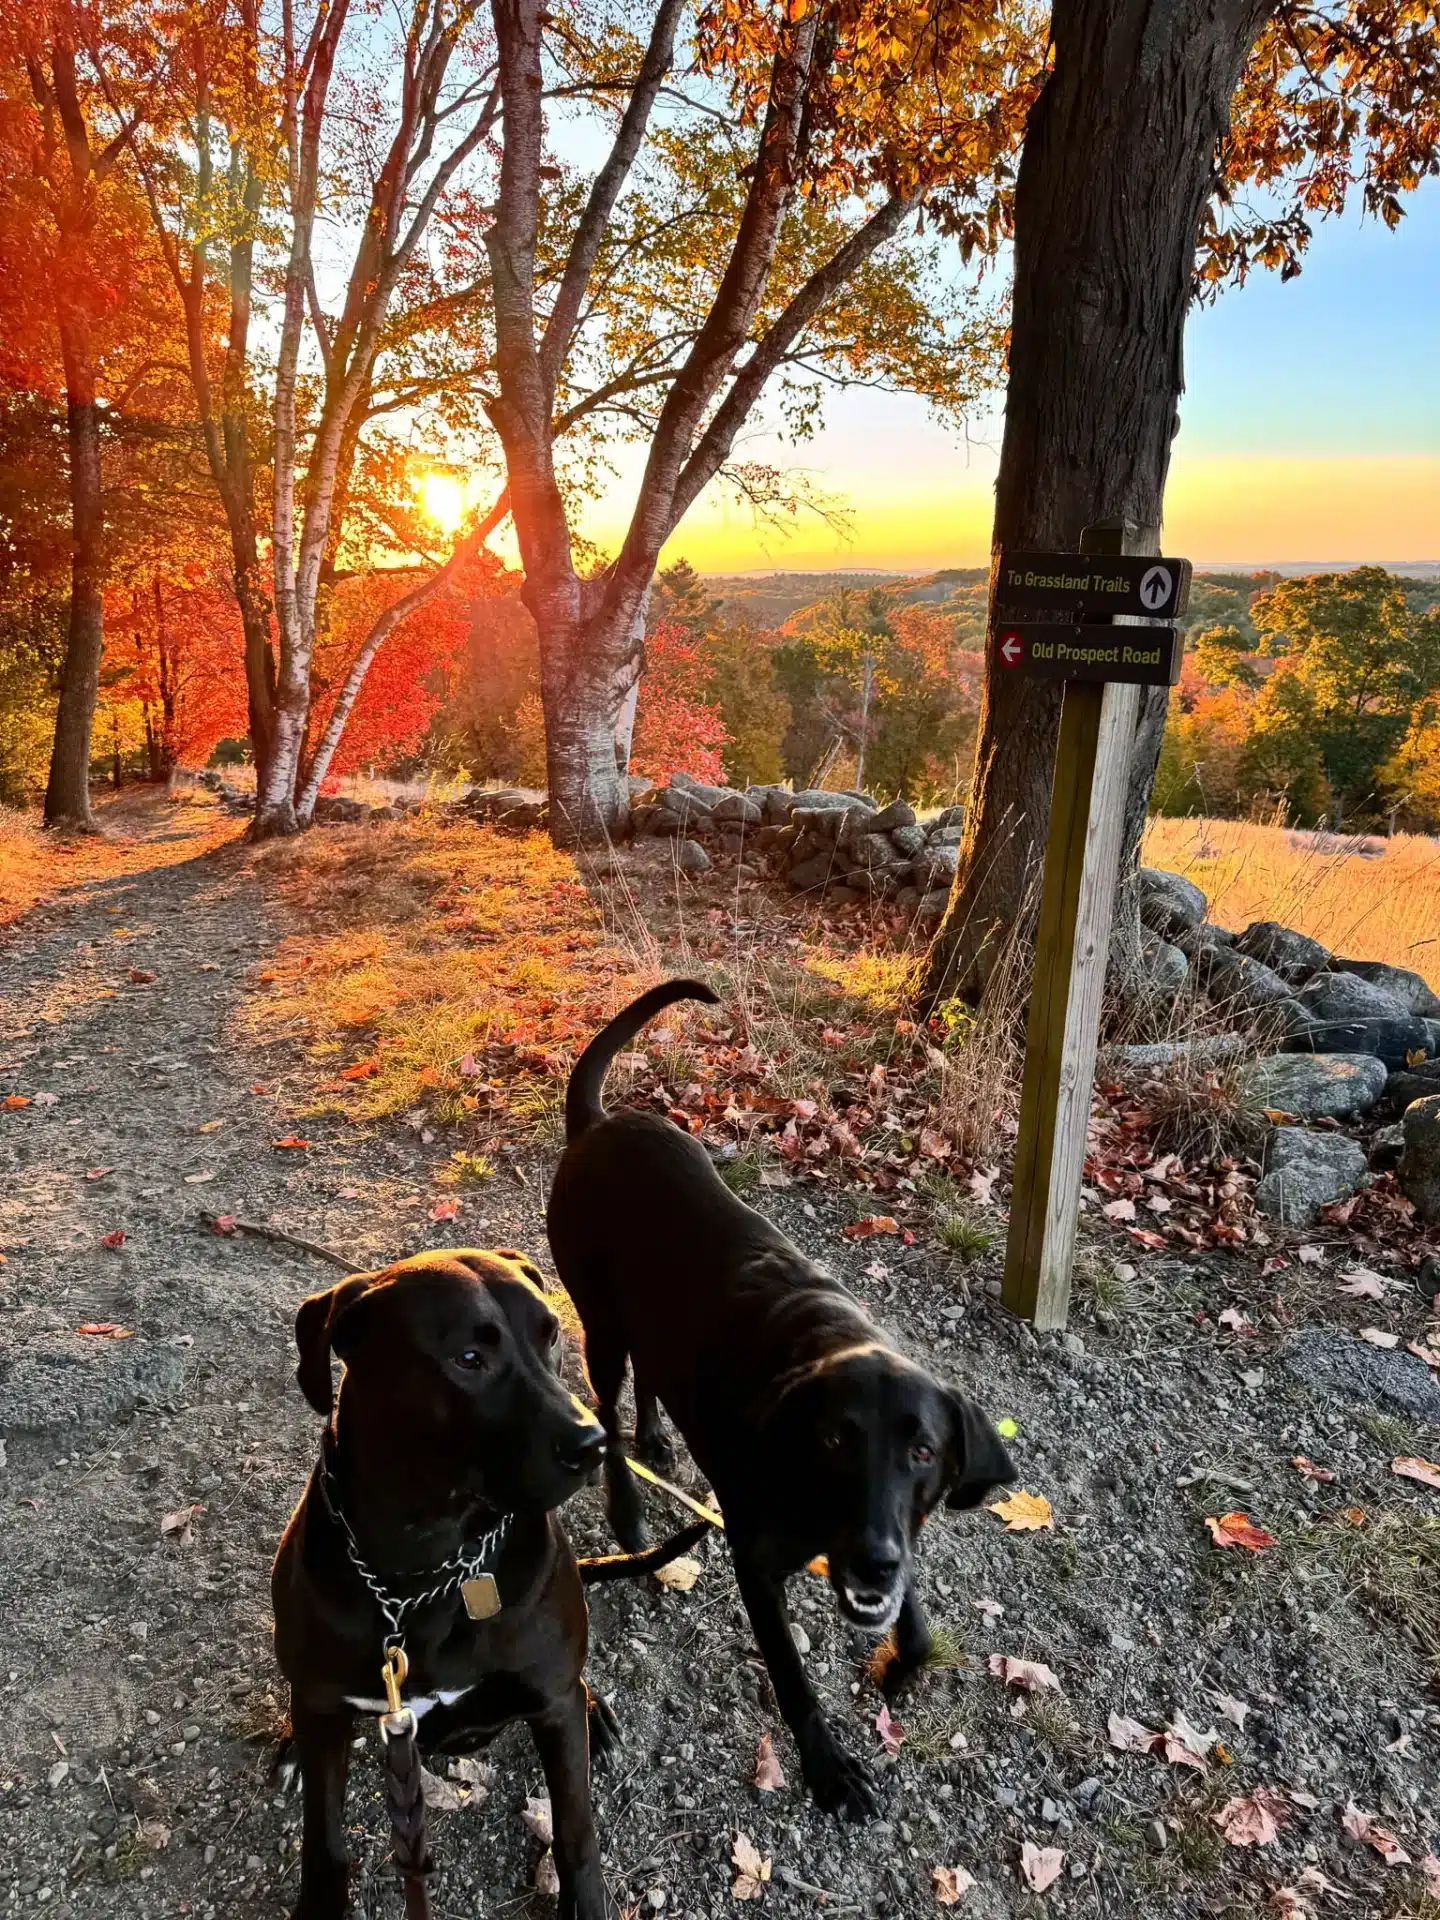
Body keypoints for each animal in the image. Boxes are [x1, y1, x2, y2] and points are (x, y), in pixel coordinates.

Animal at [272, 1251, 618, 1912]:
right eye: (468, 1358)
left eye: (551, 1334)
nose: (595, 1445)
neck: (430, 1563)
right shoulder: (326, 1703)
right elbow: (323, 1841)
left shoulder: (553, 1703)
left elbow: (576, 1833)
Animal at [545, 983, 1021, 1820]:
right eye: (833, 1440)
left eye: (923, 1451)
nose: (872, 1558)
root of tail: (599, 1122)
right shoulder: (758, 1567)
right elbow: (794, 1680)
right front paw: (828, 1768)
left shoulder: (895, 1535)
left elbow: (916, 1623)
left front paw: (898, 1666)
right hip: (599, 1322)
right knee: (604, 1407)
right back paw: (629, 1507)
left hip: (648, 1321)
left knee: (649, 1380)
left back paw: (658, 1438)